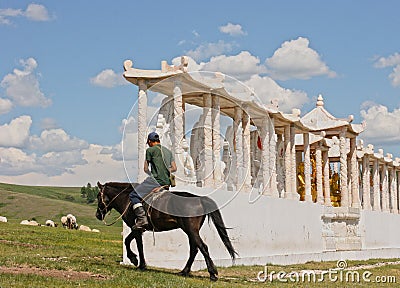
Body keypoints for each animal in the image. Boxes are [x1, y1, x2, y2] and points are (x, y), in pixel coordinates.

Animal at [95, 182, 236, 282]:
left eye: (98, 196)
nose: (97, 215)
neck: (126, 199)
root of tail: (199, 199)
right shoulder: (137, 229)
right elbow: (133, 242)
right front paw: (139, 262)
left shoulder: (136, 228)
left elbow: (132, 243)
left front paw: (137, 261)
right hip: (190, 231)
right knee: (194, 249)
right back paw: (184, 271)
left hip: (191, 230)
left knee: (203, 247)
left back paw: (212, 274)